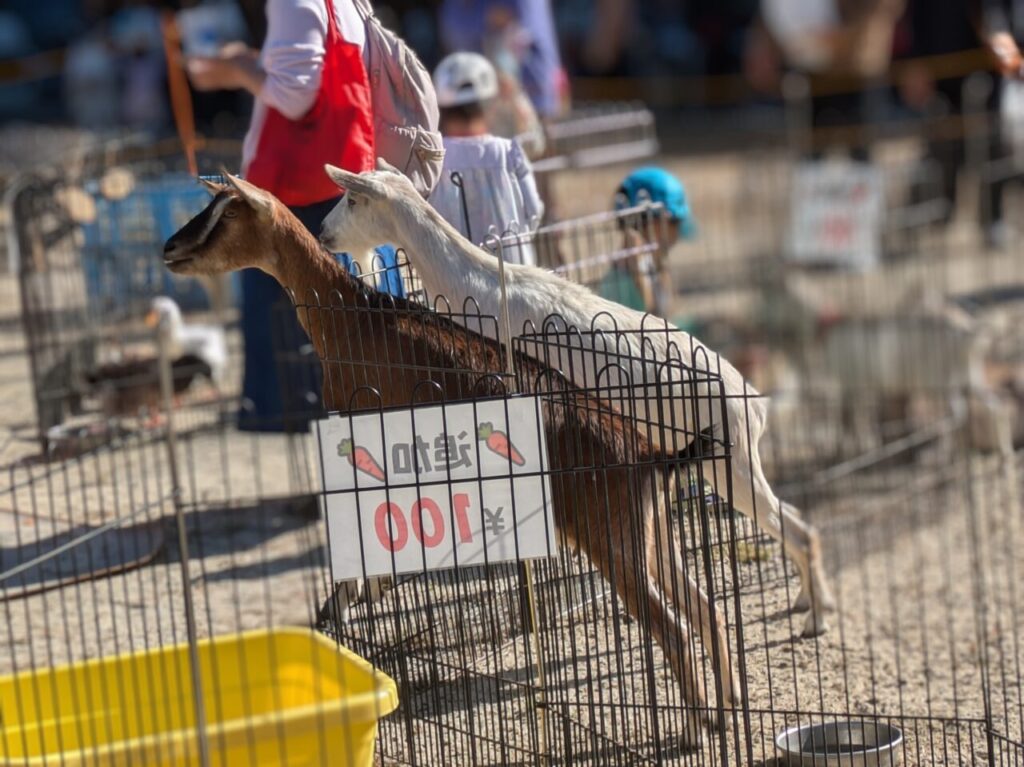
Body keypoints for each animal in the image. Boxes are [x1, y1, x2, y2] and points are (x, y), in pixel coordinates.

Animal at [165, 175, 745, 741]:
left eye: (228, 212)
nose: (170, 249)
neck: (354, 317)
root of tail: (651, 456)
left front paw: (352, 596)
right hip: (648, 533)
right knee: (707, 609)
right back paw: (728, 707)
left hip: (611, 538)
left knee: (673, 629)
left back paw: (695, 731)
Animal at [323, 159, 835, 634]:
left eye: (352, 198)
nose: (325, 233)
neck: (482, 288)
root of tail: (751, 400)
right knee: (793, 519)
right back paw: (807, 603)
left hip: (731, 462)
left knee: (797, 527)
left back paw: (816, 619)